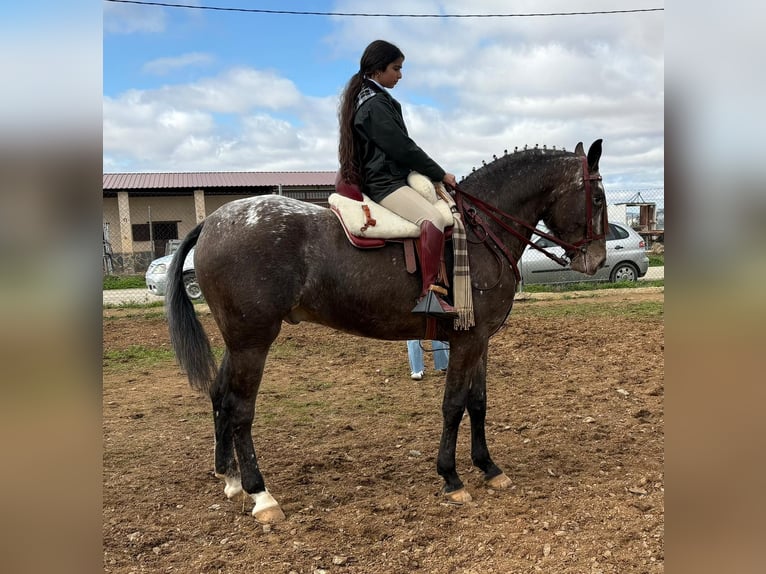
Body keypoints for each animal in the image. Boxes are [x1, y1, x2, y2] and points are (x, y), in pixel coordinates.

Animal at [166, 139, 608, 524]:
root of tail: (213, 221)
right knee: (240, 409)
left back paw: (231, 479)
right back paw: (261, 495)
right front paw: (451, 478)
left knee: (219, 395)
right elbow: (453, 405)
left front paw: (489, 467)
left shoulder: (480, 341)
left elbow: (478, 403)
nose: (598, 259)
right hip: (253, 342)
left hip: (237, 341)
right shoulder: (466, 341)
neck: (480, 233)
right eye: (598, 199)